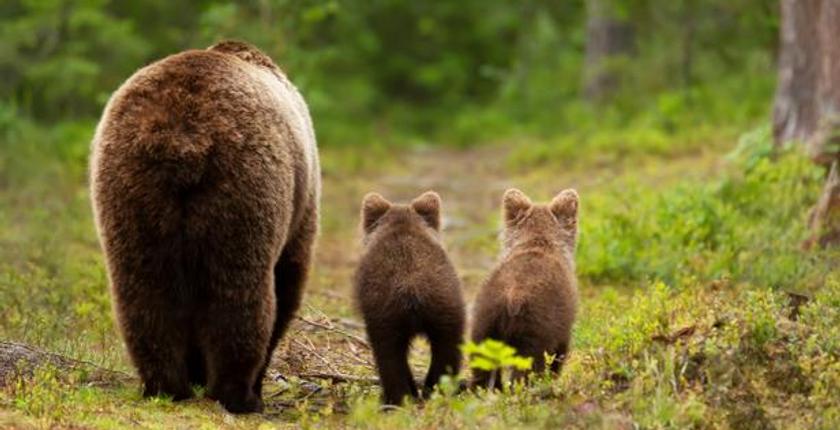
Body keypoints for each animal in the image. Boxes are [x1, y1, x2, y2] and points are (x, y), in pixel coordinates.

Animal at [89, 40, 320, 413]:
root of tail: (181, 136)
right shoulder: (301, 207)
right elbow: (289, 279)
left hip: (130, 187)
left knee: (144, 289)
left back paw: (164, 384)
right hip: (245, 187)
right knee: (239, 292)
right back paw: (238, 393)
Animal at [353, 191, 466, 405]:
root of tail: (412, 288)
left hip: (384, 313)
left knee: (388, 356)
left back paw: (397, 398)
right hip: (448, 307)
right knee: (447, 350)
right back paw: (434, 392)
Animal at [470, 188, 579, 388]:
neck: (538, 240)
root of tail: (512, 298)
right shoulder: (562, 324)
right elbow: (560, 353)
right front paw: (554, 377)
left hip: (484, 321)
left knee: (482, 366)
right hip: (537, 327)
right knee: (527, 368)